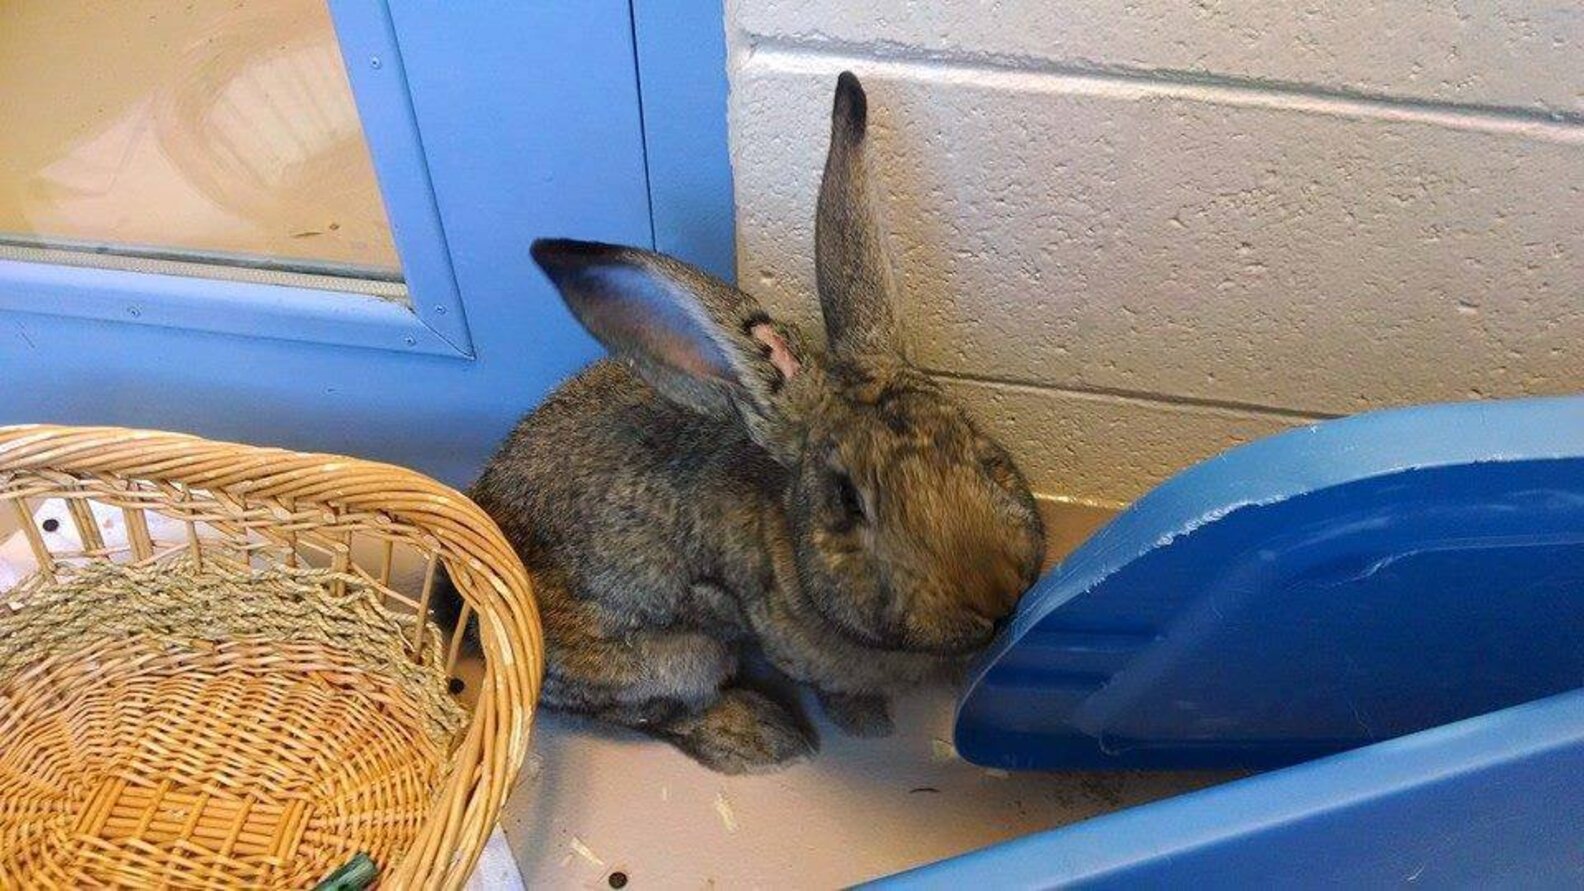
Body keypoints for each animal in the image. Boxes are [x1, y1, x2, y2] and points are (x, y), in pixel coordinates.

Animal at [447, 71, 1046, 773]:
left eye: (976, 444)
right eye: (848, 501)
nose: (996, 596)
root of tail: (461, 607)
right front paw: (868, 725)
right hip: (675, 659)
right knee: (656, 710)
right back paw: (764, 736)